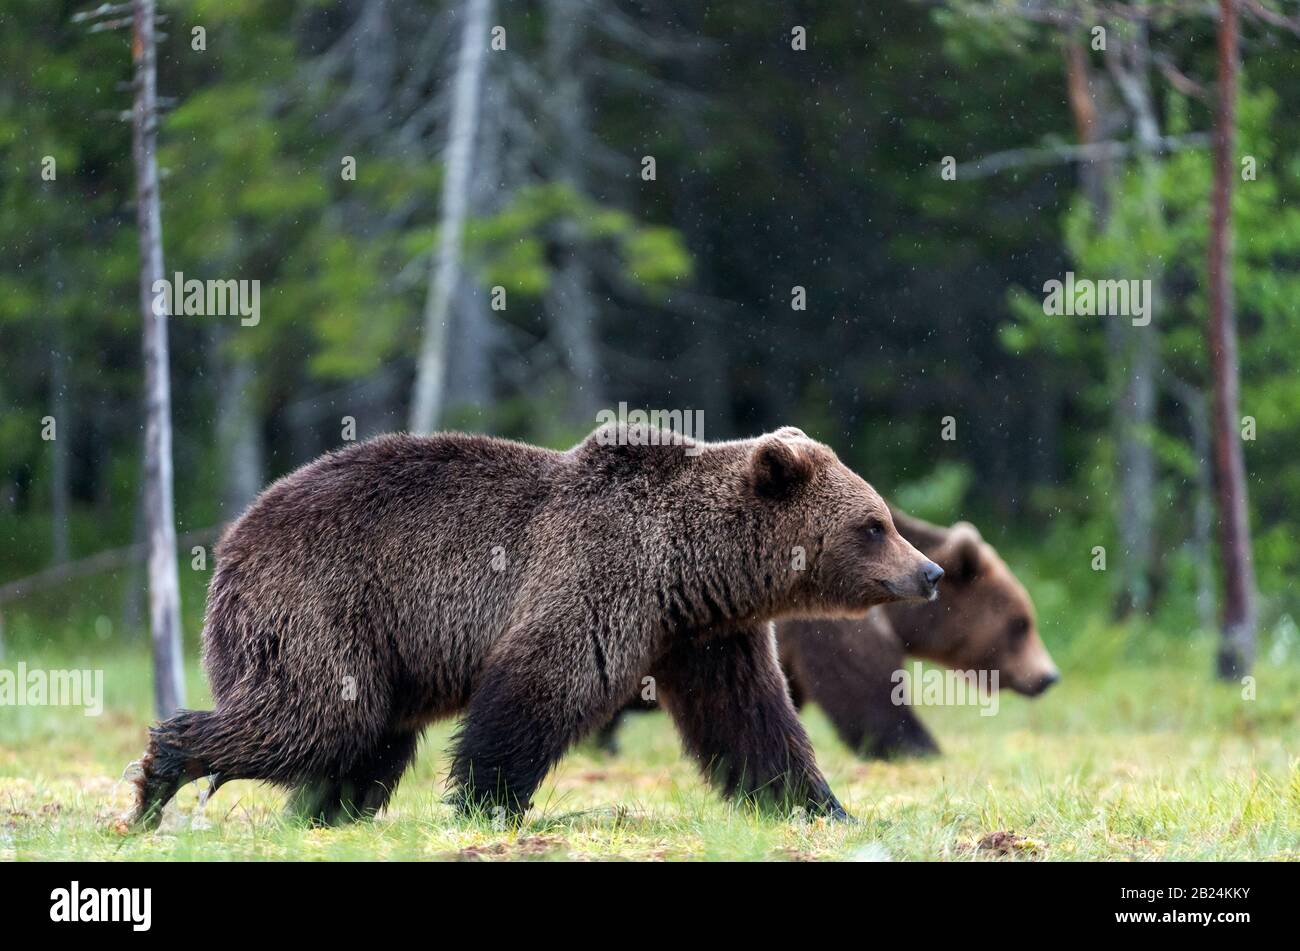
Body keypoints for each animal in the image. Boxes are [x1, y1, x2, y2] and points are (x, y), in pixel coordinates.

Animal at [126, 426, 946, 826]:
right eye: (874, 525)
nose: (930, 572)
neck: (691, 565)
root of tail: (233, 538)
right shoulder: (597, 576)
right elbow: (540, 688)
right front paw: (485, 801)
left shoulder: (706, 635)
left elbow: (749, 720)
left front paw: (823, 807)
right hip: (323, 601)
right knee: (317, 716)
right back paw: (161, 776)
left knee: (364, 737)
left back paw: (322, 811)